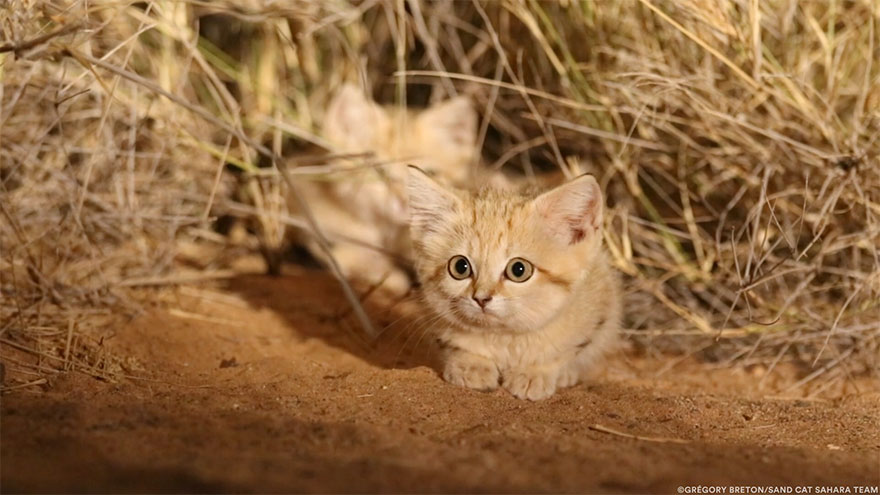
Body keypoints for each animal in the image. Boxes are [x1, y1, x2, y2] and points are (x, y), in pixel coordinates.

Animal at [406, 166, 620, 400]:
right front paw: (472, 365)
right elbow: (458, 345)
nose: (481, 298)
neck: (504, 337)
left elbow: (564, 351)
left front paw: (535, 372)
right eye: (460, 267)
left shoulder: (598, 310)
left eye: (519, 270)